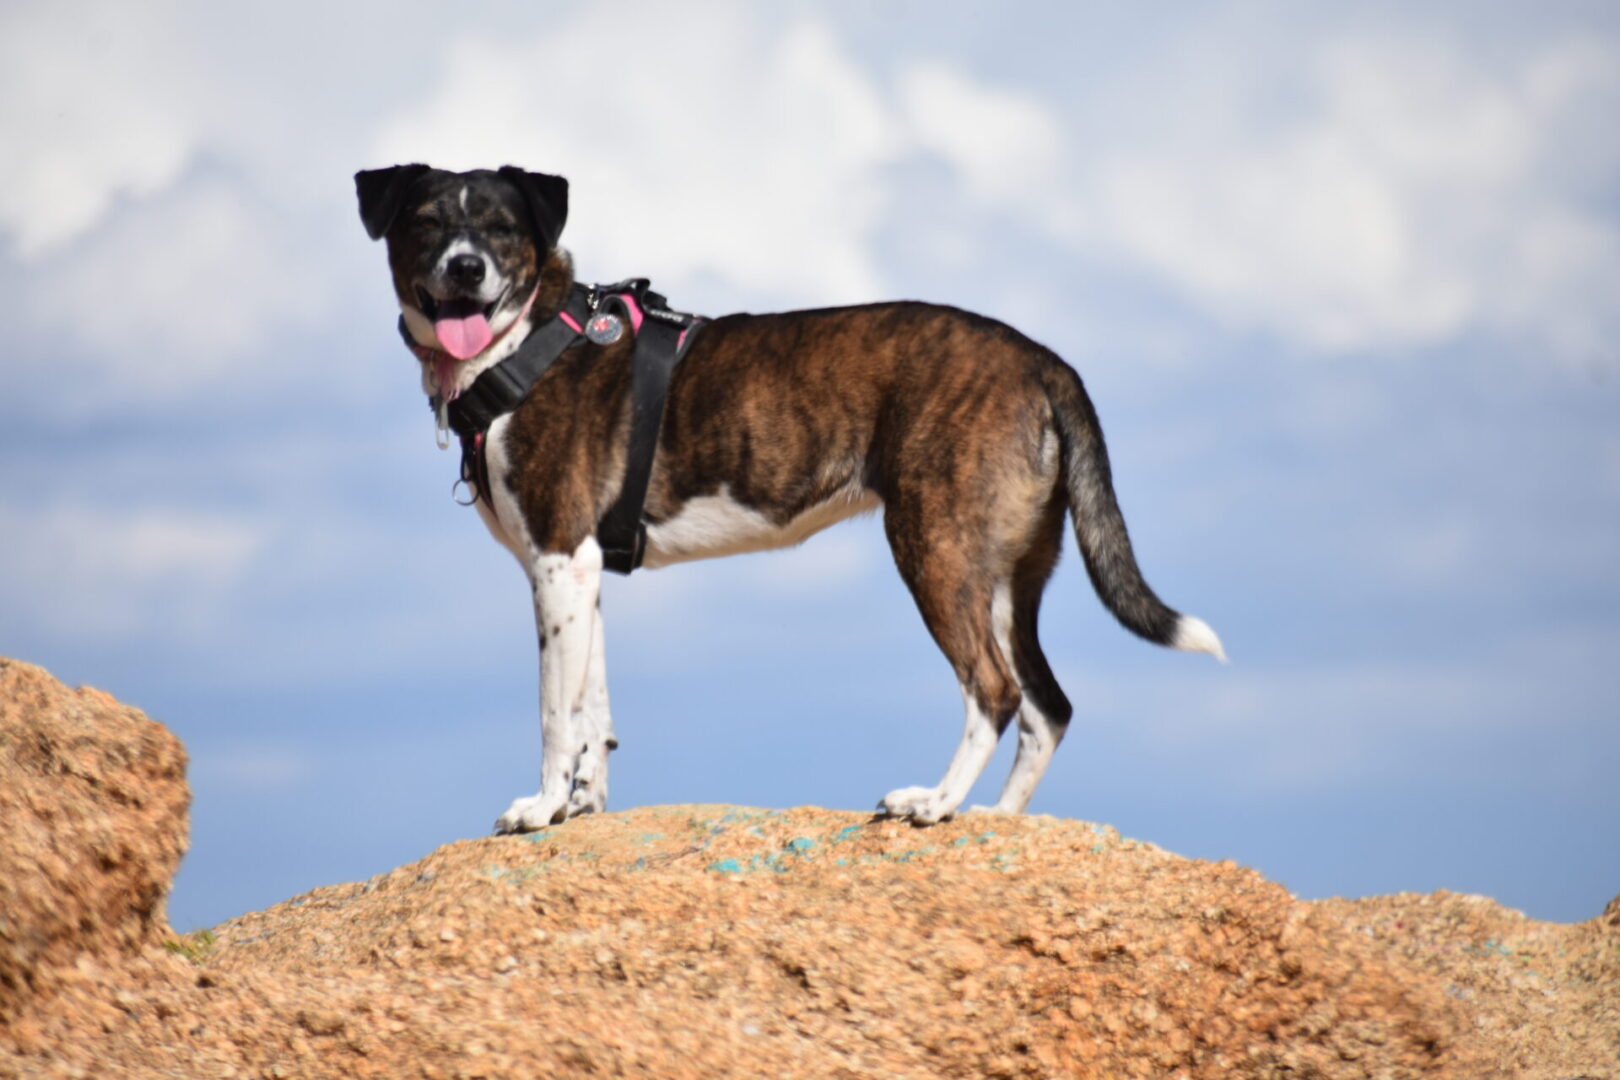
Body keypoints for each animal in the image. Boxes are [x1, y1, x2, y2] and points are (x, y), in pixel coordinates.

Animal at [351, 162, 1218, 835]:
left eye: (501, 229)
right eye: (428, 223)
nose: (467, 269)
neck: (524, 341)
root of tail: (1042, 360)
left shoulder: (559, 557)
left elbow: (554, 714)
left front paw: (538, 809)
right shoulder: (579, 569)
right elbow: (593, 709)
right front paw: (580, 807)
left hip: (935, 546)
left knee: (996, 691)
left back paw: (934, 803)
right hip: (1007, 572)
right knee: (1048, 707)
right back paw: (995, 822)